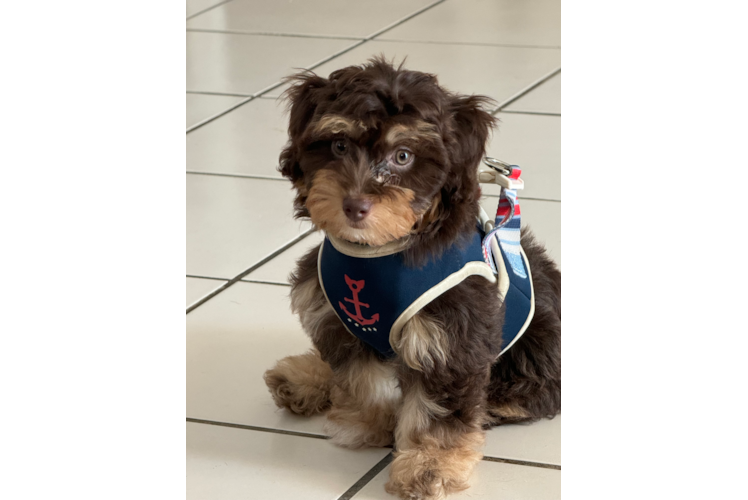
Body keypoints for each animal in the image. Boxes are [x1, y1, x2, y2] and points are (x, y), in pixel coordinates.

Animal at [264, 59, 560, 500]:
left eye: (403, 156)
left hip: (537, 349)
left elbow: (438, 411)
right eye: (338, 146)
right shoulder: (333, 312)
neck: (381, 250)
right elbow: (361, 378)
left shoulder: (453, 337)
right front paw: (370, 422)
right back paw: (304, 380)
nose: (355, 205)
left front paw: (429, 464)